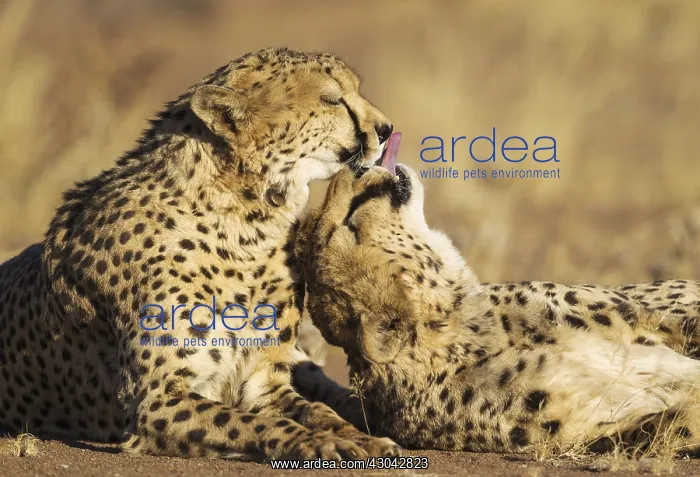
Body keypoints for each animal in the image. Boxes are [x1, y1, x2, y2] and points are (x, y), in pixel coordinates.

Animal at [0, 47, 402, 461]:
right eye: (332, 99)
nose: (386, 129)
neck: (246, 222)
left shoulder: (264, 382)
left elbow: (317, 412)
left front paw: (361, 438)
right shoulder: (155, 402)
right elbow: (256, 423)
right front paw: (322, 443)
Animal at [293, 158, 700, 458]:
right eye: (350, 226)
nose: (353, 167)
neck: (463, 335)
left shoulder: (650, 317)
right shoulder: (596, 431)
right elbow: (673, 423)